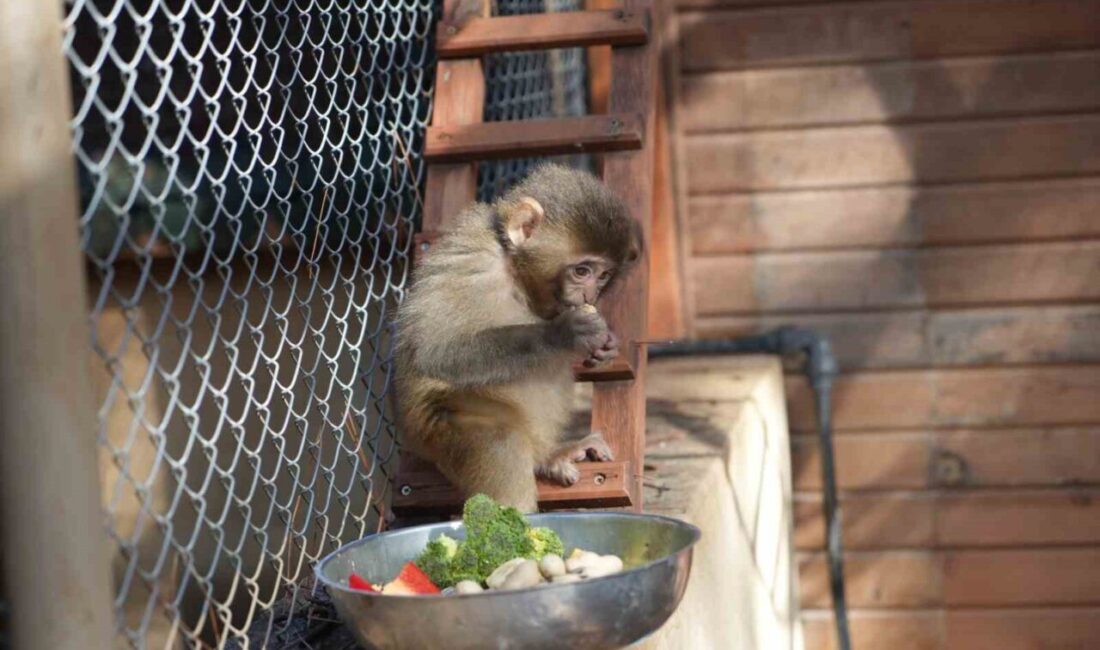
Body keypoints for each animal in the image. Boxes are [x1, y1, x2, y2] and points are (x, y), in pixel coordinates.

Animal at [396, 163, 642, 514]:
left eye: (604, 275)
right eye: (582, 271)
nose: (591, 294)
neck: (513, 271)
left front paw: (606, 347)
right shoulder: (472, 261)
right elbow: (436, 352)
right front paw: (563, 333)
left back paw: (548, 457)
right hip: (437, 433)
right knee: (500, 440)